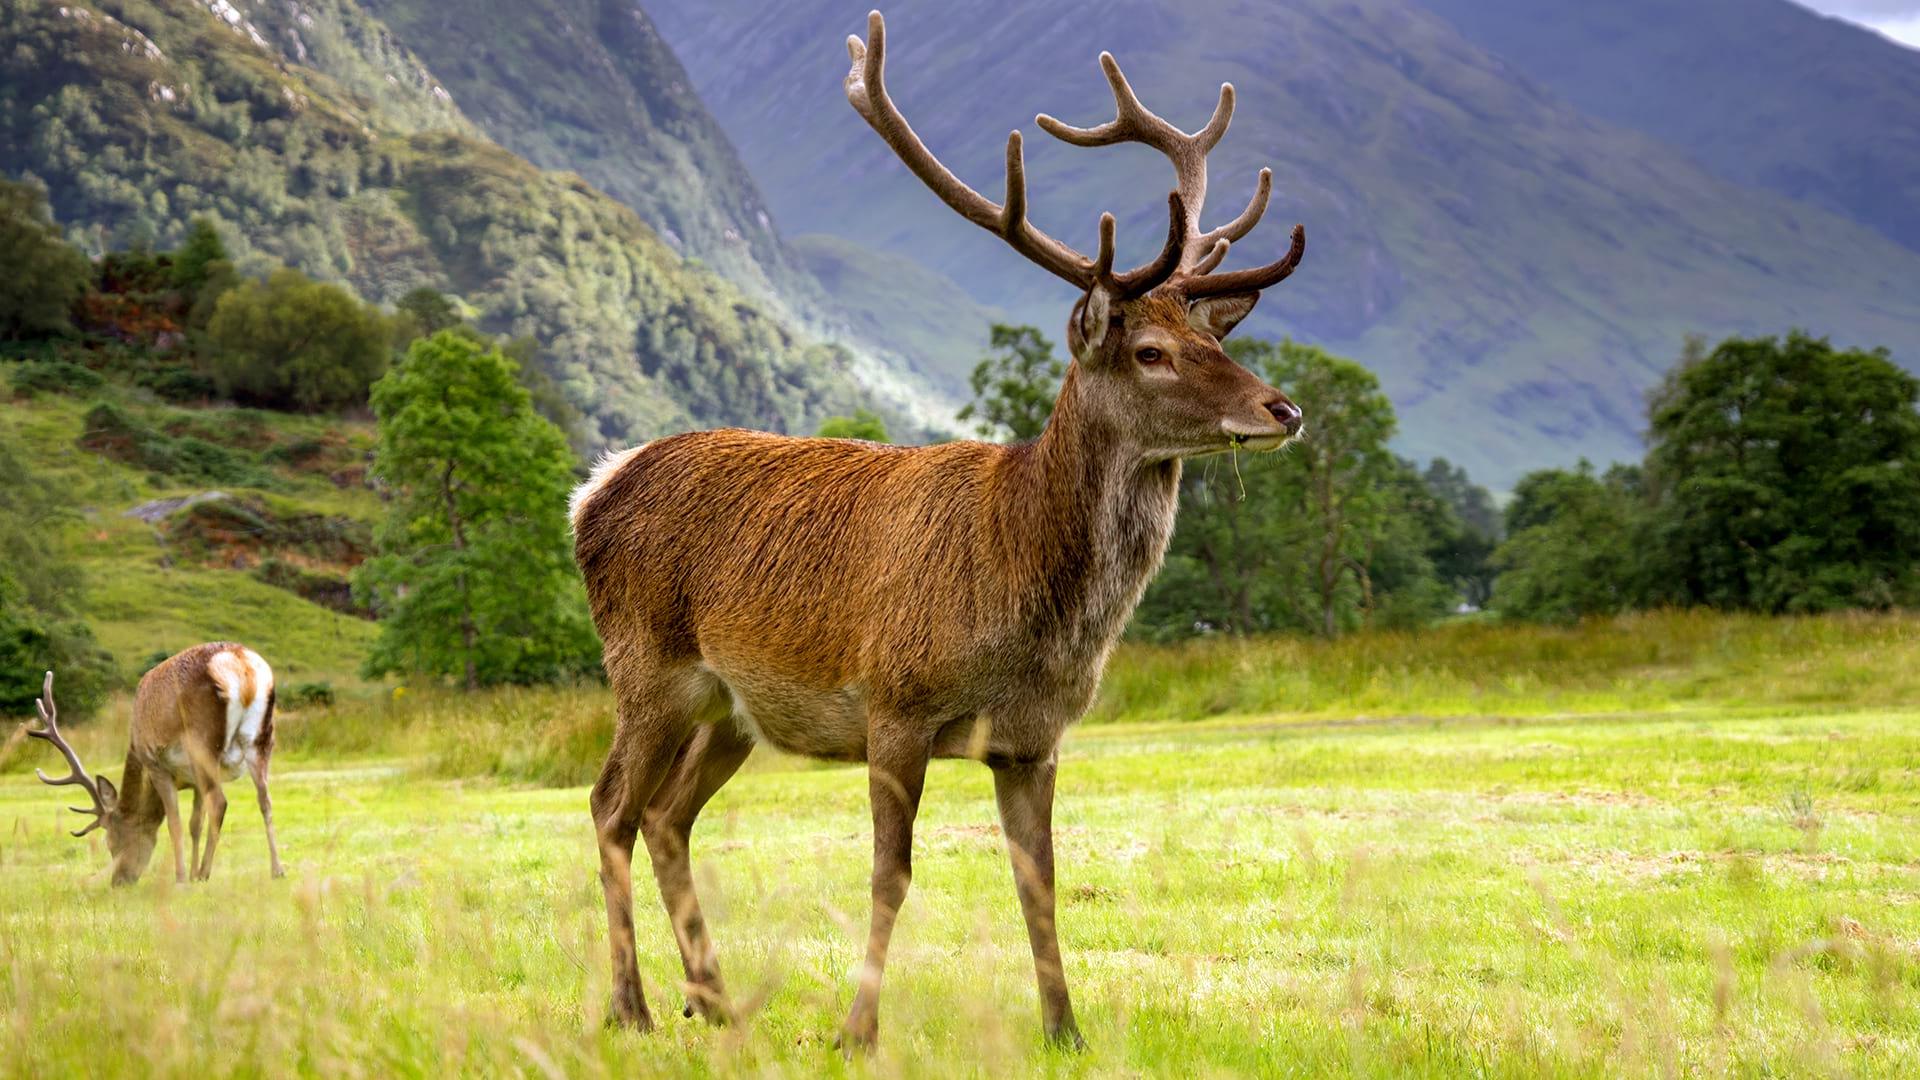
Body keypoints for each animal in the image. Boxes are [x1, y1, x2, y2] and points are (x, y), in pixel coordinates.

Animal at [24, 642, 285, 886]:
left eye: (111, 842)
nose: (119, 881)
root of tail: (239, 662)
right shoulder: (193, 780)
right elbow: (195, 824)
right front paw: (190, 874)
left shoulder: (156, 764)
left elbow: (174, 823)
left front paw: (182, 878)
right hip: (262, 739)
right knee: (265, 799)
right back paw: (277, 870)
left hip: (202, 741)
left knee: (220, 802)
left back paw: (205, 873)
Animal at [568, 9, 1307, 1051]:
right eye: (1153, 352)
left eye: (1217, 338)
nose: (1283, 409)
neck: (1028, 604)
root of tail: (593, 488)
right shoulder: (895, 702)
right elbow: (892, 872)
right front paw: (856, 1031)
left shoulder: (1035, 738)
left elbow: (1039, 882)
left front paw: (1065, 1031)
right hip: (647, 666)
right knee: (609, 807)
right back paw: (632, 1007)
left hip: (733, 709)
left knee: (669, 817)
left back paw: (711, 1001)